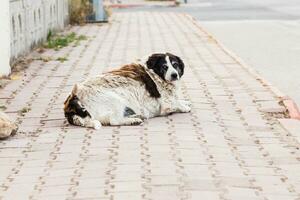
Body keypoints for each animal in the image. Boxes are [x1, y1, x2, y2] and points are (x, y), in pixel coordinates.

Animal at [63, 52, 191, 129]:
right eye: (165, 67)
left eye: (175, 65)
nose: (174, 75)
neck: (155, 74)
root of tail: (73, 99)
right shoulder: (165, 105)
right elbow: (176, 103)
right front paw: (184, 107)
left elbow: (178, 99)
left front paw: (185, 102)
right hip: (115, 100)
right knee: (114, 121)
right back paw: (133, 121)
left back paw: (136, 116)